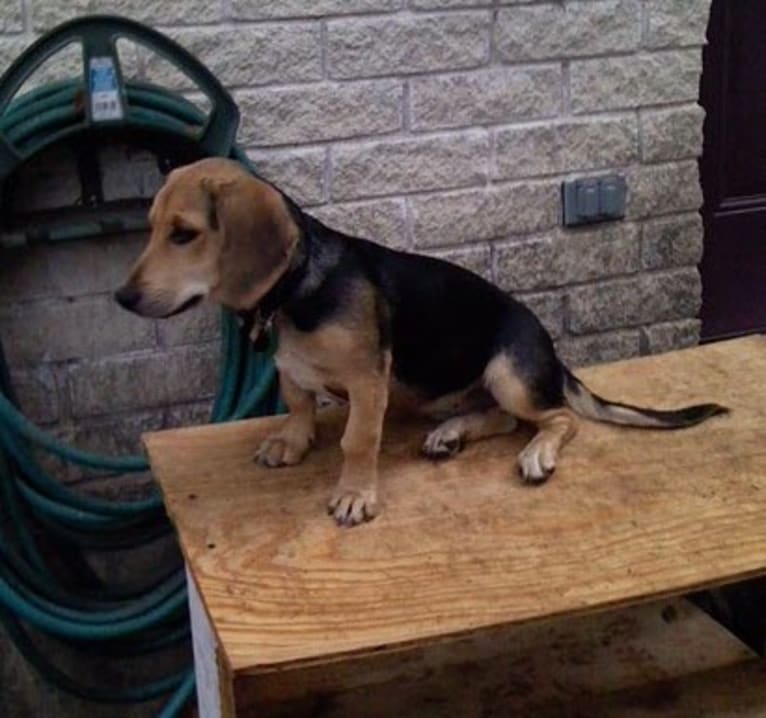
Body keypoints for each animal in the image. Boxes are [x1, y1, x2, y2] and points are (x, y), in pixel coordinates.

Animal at [117, 159, 728, 528]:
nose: (123, 297)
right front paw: (292, 441)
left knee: (557, 418)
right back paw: (451, 434)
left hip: (509, 372)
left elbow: (358, 440)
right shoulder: (293, 371)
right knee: (502, 418)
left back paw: (536, 453)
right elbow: (298, 405)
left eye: (184, 234)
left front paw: (355, 493)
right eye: (151, 228)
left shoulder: (367, 382)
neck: (296, 289)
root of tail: (551, 355)